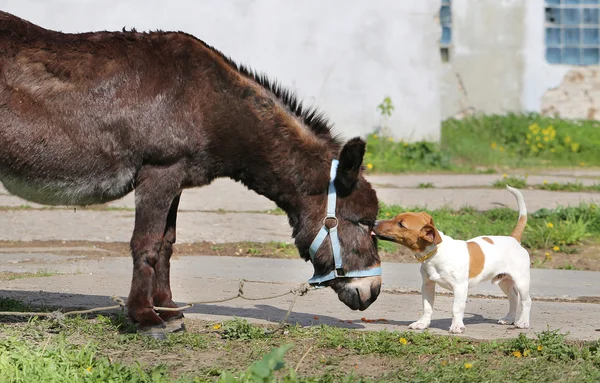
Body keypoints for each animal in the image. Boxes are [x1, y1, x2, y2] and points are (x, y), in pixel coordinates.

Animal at [372, 186, 532, 332]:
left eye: (401, 224)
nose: (374, 222)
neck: (436, 253)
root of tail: (513, 239)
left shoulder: (460, 287)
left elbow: (456, 308)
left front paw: (456, 326)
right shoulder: (427, 285)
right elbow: (427, 307)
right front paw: (422, 324)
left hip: (521, 280)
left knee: (526, 300)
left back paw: (523, 322)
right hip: (504, 281)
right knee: (513, 297)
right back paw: (509, 318)